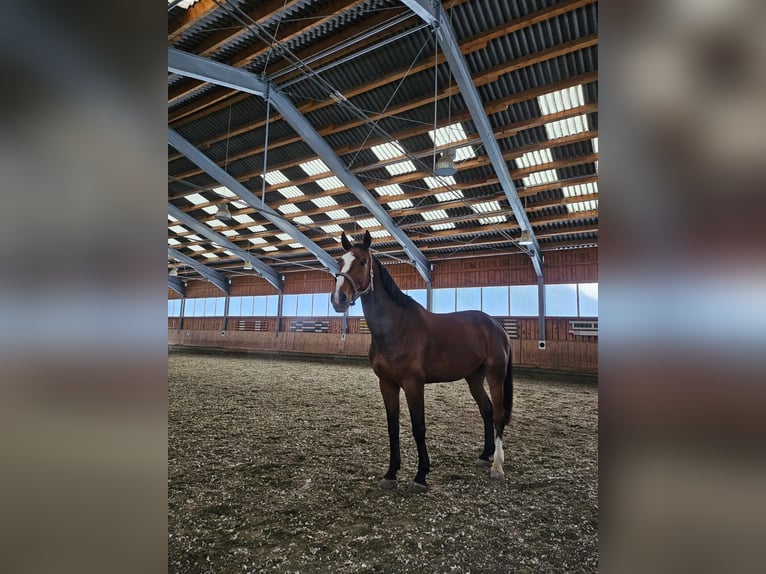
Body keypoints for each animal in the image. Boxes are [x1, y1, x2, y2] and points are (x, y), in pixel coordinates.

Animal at [331, 231, 513, 494]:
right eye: (339, 262)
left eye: (363, 262)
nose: (339, 298)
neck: (397, 327)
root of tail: (496, 326)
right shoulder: (387, 383)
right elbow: (393, 427)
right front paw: (391, 473)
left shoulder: (413, 384)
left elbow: (419, 428)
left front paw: (420, 476)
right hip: (473, 377)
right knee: (486, 409)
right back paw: (484, 455)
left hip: (495, 375)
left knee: (498, 413)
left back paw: (497, 466)